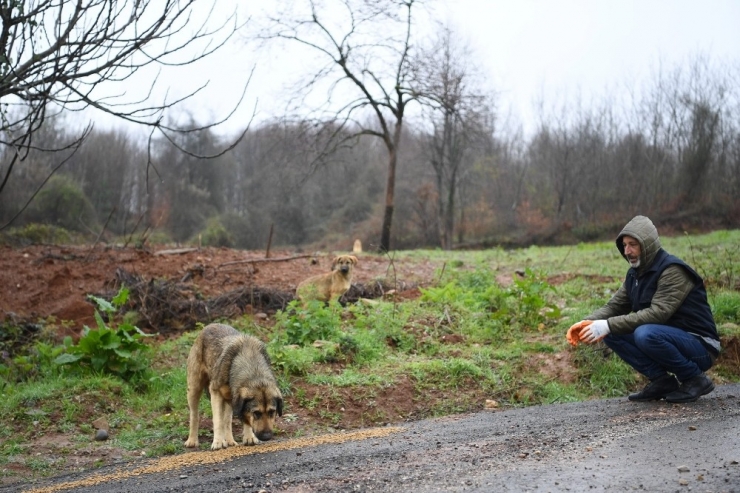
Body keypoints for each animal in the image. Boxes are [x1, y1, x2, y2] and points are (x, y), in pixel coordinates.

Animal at [184, 322, 284, 450]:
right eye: (256, 413)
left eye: (272, 412)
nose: (266, 437)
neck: (253, 370)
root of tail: (209, 326)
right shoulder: (215, 393)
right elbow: (218, 420)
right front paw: (218, 442)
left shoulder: (238, 401)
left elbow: (239, 419)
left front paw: (249, 437)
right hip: (194, 389)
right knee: (194, 415)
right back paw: (192, 440)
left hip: (230, 401)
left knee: (227, 420)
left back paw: (230, 441)